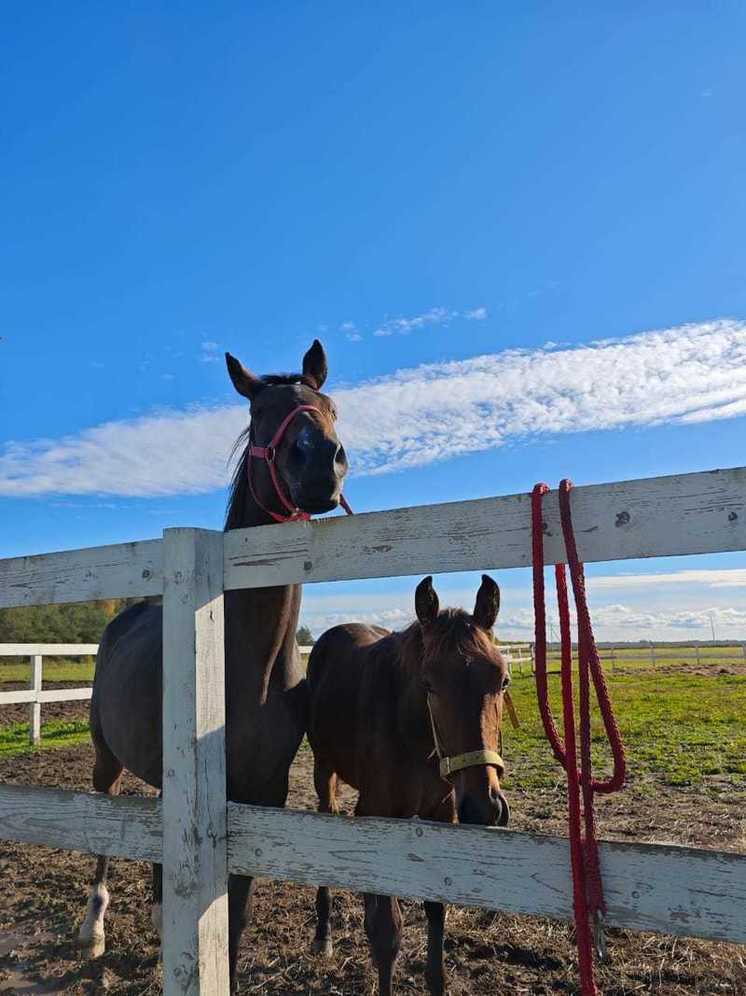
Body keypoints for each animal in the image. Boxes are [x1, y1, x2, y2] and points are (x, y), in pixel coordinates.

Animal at [77, 340, 350, 988]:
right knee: (102, 828)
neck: (246, 665)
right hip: (105, 756)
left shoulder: (264, 795)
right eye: (259, 413)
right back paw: (93, 928)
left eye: (330, 406)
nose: (320, 462)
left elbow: (237, 912)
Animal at [306, 576, 508, 996]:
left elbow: (435, 907)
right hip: (324, 771)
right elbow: (387, 934)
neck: (413, 734)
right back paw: (324, 933)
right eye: (429, 684)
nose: (486, 807)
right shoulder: (380, 814)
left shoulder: (441, 814)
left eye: (503, 680)